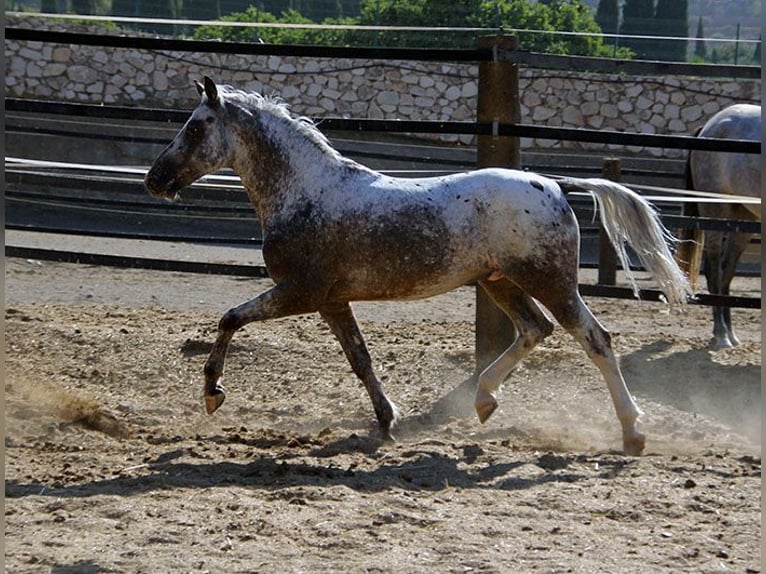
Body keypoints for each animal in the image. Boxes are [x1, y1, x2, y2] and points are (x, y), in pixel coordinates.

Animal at [147, 76, 692, 456]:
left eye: (194, 126)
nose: (155, 179)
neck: (303, 192)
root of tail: (555, 185)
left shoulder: (300, 291)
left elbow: (230, 318)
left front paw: (213, 392)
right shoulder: (332, 301)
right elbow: (361, 359)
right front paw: (388, 420)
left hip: (550, 282)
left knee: (595, 338)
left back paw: (633, 433)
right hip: (499, 282)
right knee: (535, 330)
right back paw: (484, 402)